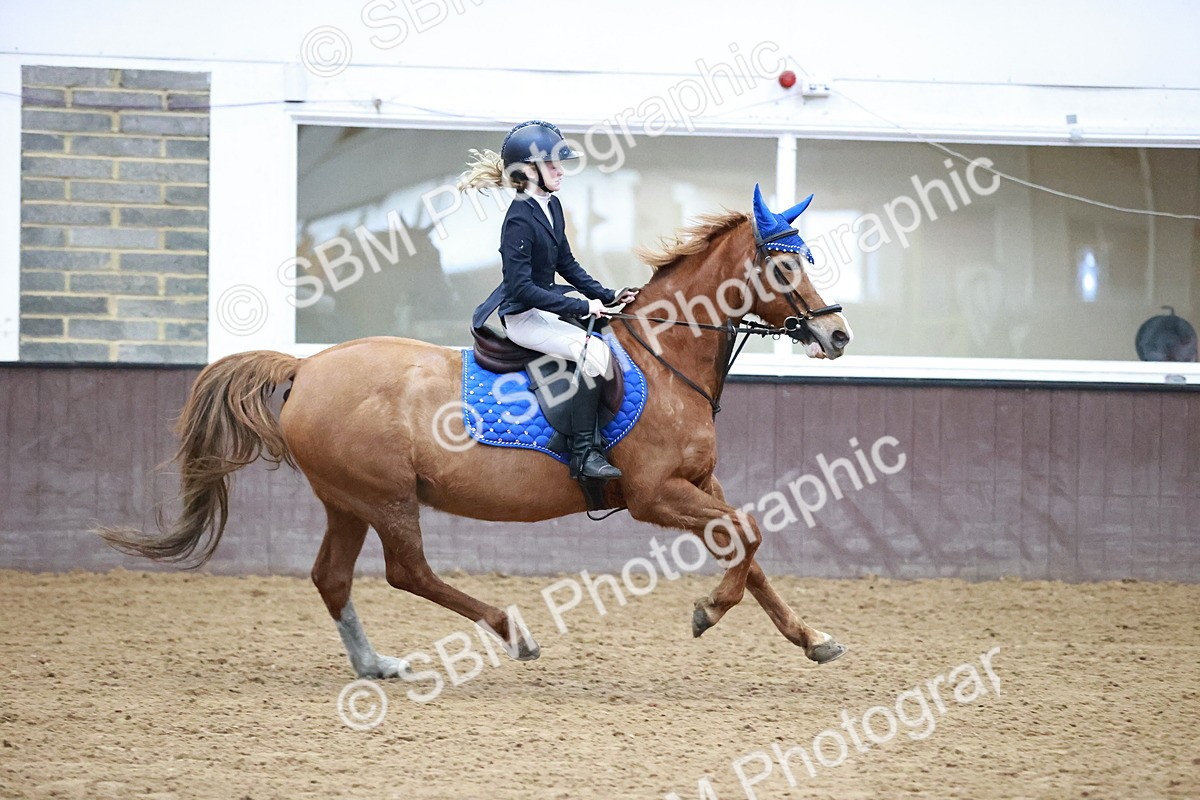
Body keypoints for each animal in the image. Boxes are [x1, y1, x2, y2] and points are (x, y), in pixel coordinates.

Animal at [101, 191, 854, 679]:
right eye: (784, 267)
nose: (838, 334)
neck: (666, 358)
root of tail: (307, 365)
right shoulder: (653, 493)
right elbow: (748, 537)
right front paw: (708, 610)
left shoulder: (699, 481)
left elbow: (749, 547)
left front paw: (812, 638)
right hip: (386, 495)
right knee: (407, 572)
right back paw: (512, 634)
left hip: (346, 499)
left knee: (332, 577)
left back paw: (376, 665)